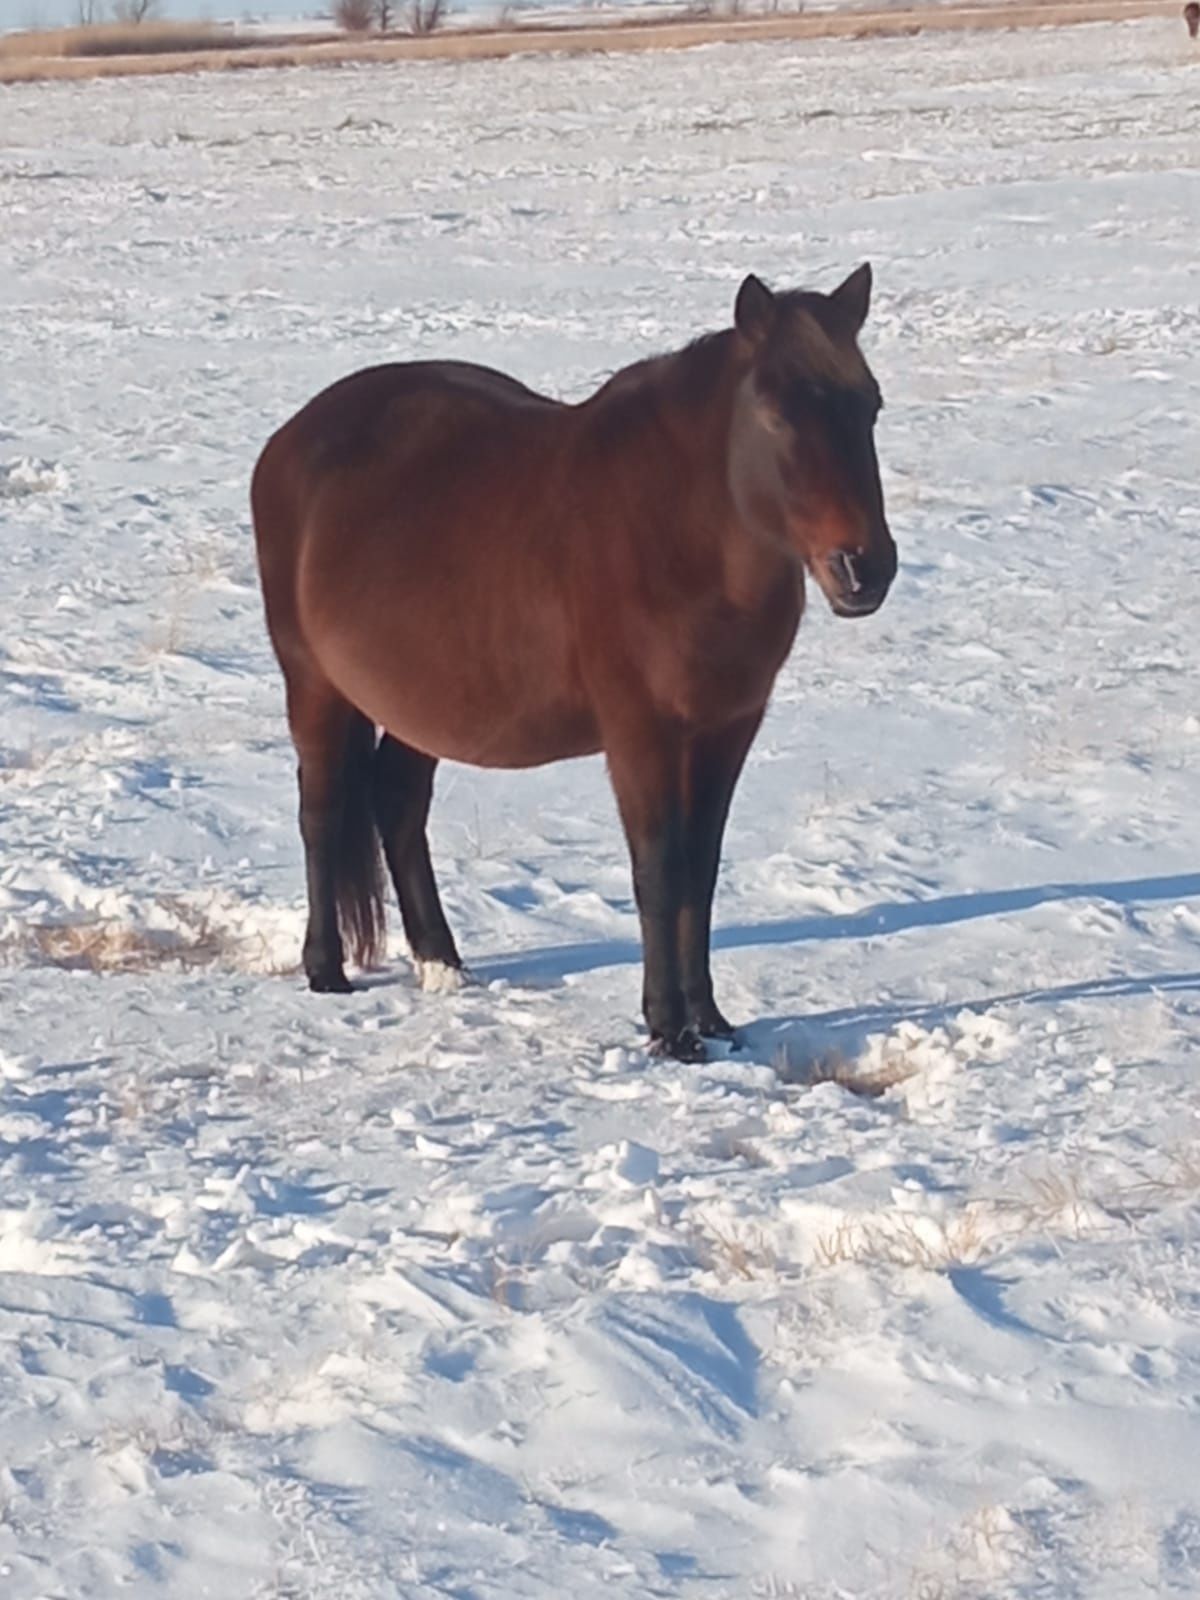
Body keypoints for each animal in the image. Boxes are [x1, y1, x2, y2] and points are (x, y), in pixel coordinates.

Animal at [251, 265, 896, 1062]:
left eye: (869, 404)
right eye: (775, 414)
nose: (865, 568)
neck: (680, 534)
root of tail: (292, 439)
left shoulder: (727, 729)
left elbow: (701, 869)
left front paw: (712, 1021)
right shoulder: (640, 734)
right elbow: (660, 870)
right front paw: (668, 1029)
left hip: (420, 704)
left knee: (397, 802)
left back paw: (442, 962)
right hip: (313, 682)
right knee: (322, 808)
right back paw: (326, 970)